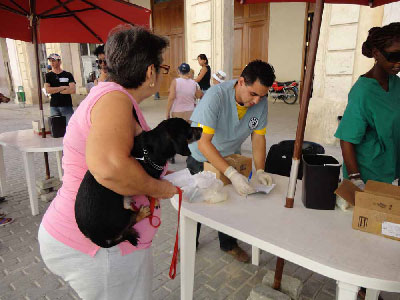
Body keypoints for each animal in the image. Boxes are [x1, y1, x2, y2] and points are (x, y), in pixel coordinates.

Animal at [74, 118, 203, 248]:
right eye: (188, 129)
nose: (202, 129)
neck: (146, 154)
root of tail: (95, 238)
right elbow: (152, 192)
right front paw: (155, 201)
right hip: (121, 215)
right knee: (130, 221)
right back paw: (143, 213)